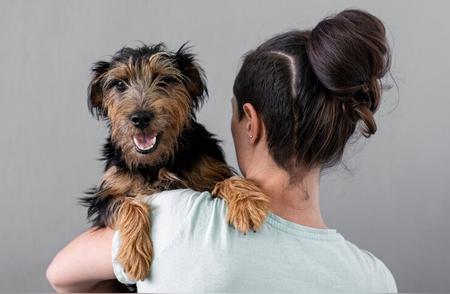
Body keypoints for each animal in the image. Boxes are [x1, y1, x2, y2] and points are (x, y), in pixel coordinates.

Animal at [78, 42, 268, 288]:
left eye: (165, 80)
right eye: (119, 84)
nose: (140, 117)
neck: (155, 163)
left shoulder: (208, 170)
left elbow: (228, 179)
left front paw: (246, 204)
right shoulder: (104, 198)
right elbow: (128, 204)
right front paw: (134, 255)